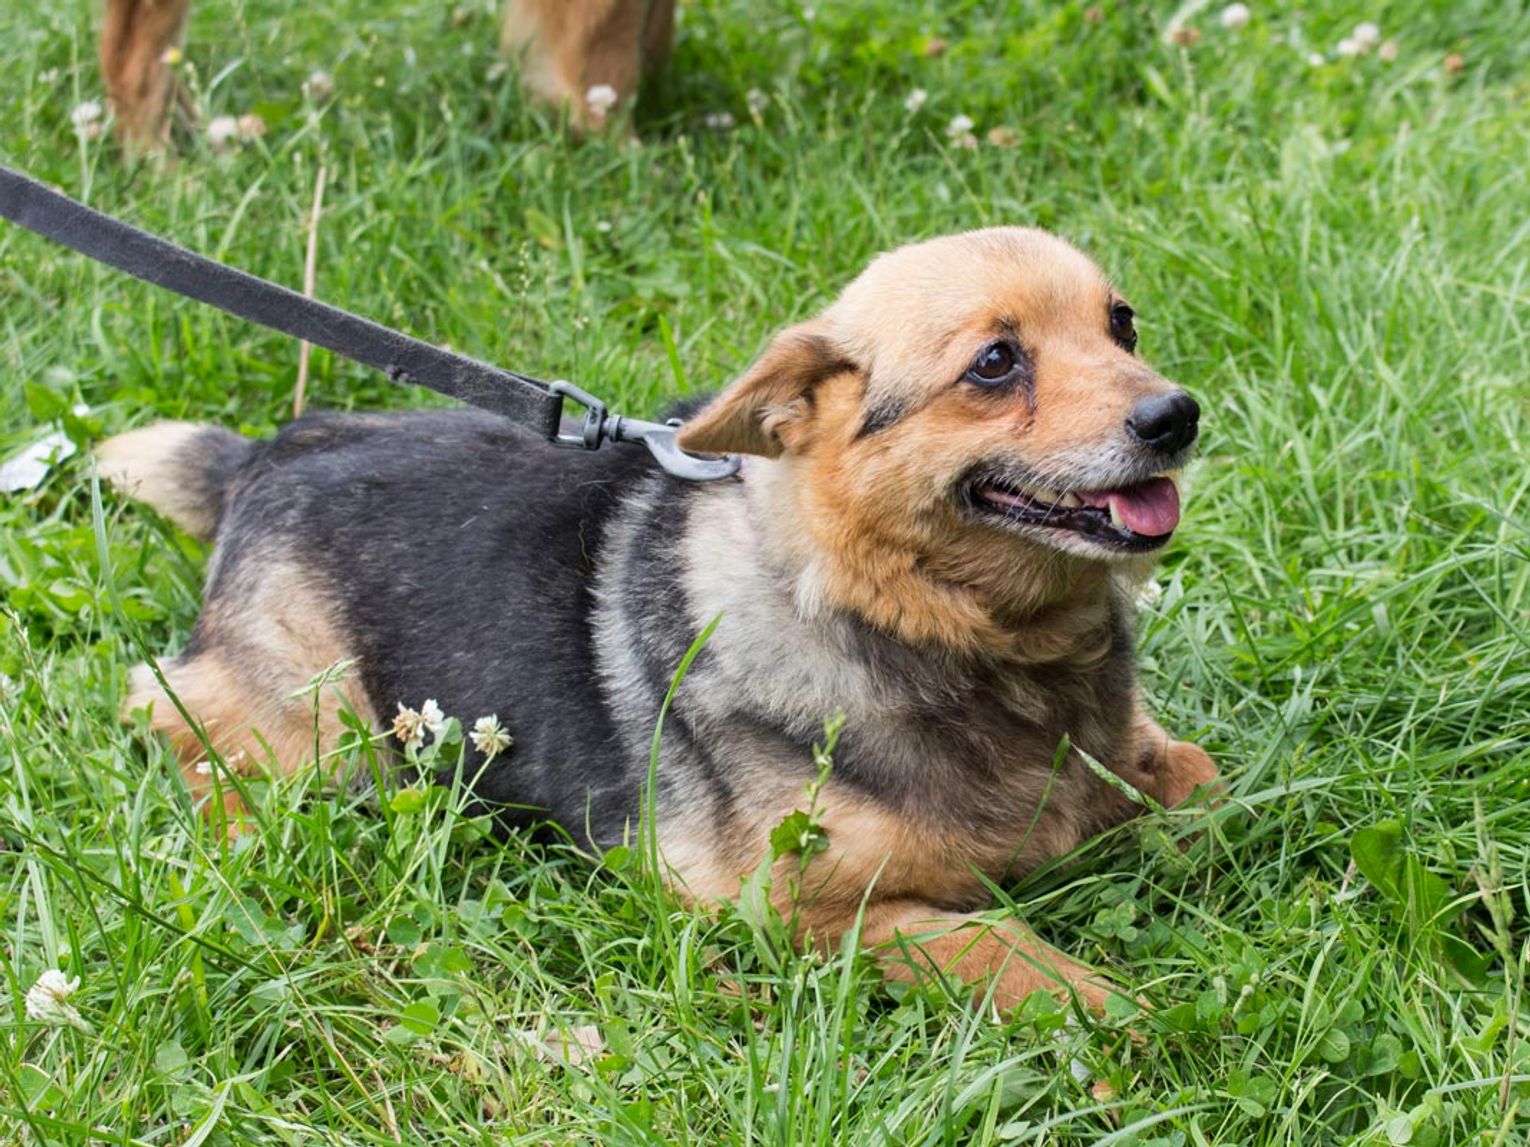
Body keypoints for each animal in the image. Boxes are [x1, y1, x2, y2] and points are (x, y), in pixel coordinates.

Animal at [97, 227, 1219, 1011]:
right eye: (994, 363)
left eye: (1122, 323)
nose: (1177, 415)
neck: (926, 619)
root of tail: (263, 454)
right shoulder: (801, 909)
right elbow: (1008, 952)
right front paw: (1130, 1027)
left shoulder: (1143, 759)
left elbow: (1205, 785)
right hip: (327, 733)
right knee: (168, 711)